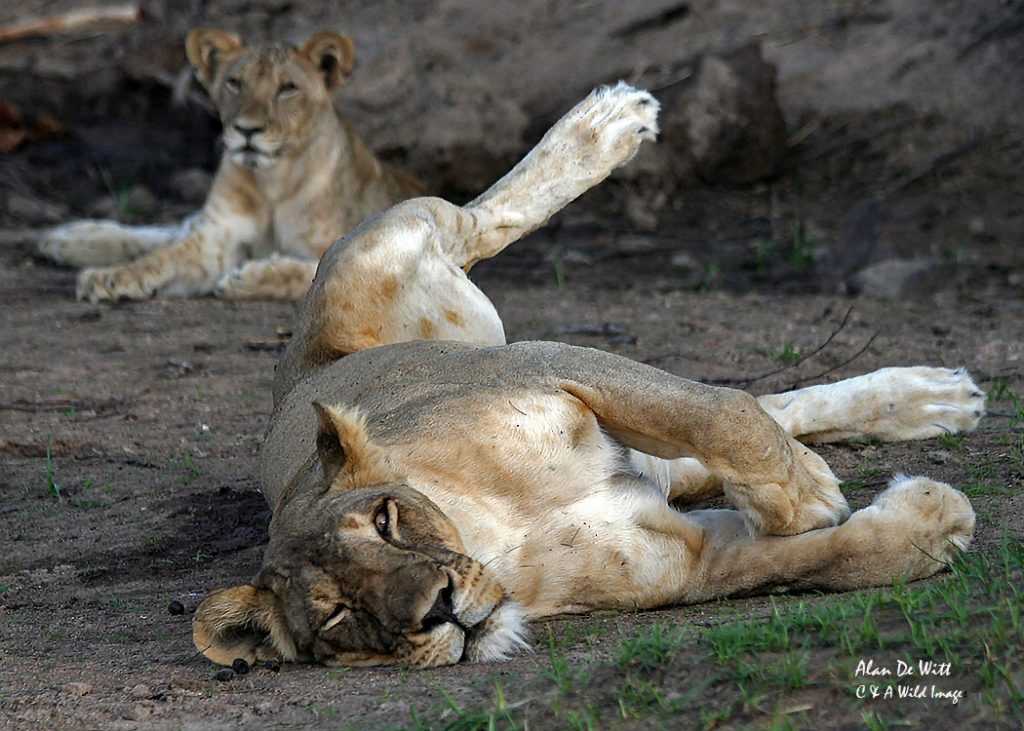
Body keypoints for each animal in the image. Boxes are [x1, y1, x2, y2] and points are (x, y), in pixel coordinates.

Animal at [38, 28, 423, 303]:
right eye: (234, 83)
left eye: (288, 88)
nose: (247, 130)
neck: (273, 183)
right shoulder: (218, 237)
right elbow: (164, 258)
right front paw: (111, 278)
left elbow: (315, 270)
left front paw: (250, 277)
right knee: (166, 233)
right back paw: (67, 239)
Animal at [192, 84, 982, 669]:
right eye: (338, 615)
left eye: (385, 521)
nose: (438, 608)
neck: (484, 532)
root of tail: (294, 375)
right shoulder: (689, 561)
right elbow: (834, 558)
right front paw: (933, 521)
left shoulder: (549, 362)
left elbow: (720, 412)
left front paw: (802, 494)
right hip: (669, 469)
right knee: (777, 406)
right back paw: (933, 398)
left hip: (378, 246)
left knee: (477, 217)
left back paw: (608, 121)